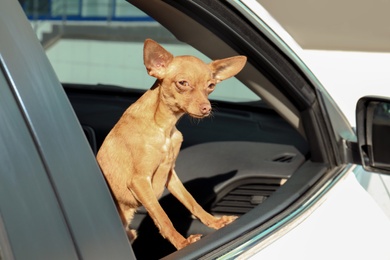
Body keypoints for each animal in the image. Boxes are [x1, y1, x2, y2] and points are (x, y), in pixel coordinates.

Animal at [96, 39, 245, 250]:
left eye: (211, 86)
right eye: (183, 83)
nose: (207, 108)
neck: (164, 127)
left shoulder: (171, 175)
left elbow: (191, 202)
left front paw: (215, 222)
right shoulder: (139, 181)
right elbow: (162, 216)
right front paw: (182, 243)